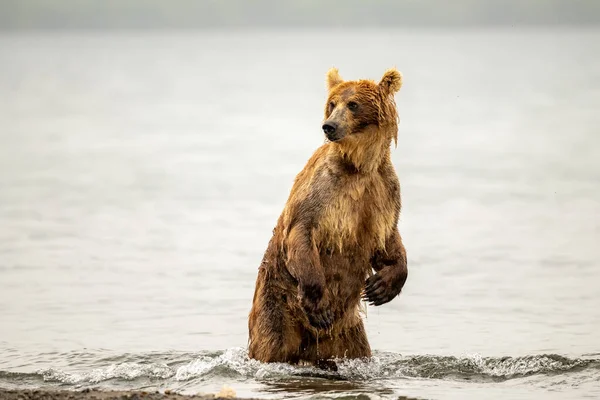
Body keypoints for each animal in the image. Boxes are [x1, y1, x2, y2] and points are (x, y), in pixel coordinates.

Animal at [245, 66, 408, 368]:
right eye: (332, 104)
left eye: (353, 104)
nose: (329, 126)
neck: (359, 164)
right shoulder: (323, 190)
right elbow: (301, 231)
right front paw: (318, 304)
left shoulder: (383, 192)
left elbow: (388, 239)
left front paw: (381, 287)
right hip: (276, 306)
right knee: (271, 342)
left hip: (348, 334)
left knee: (356, 348)